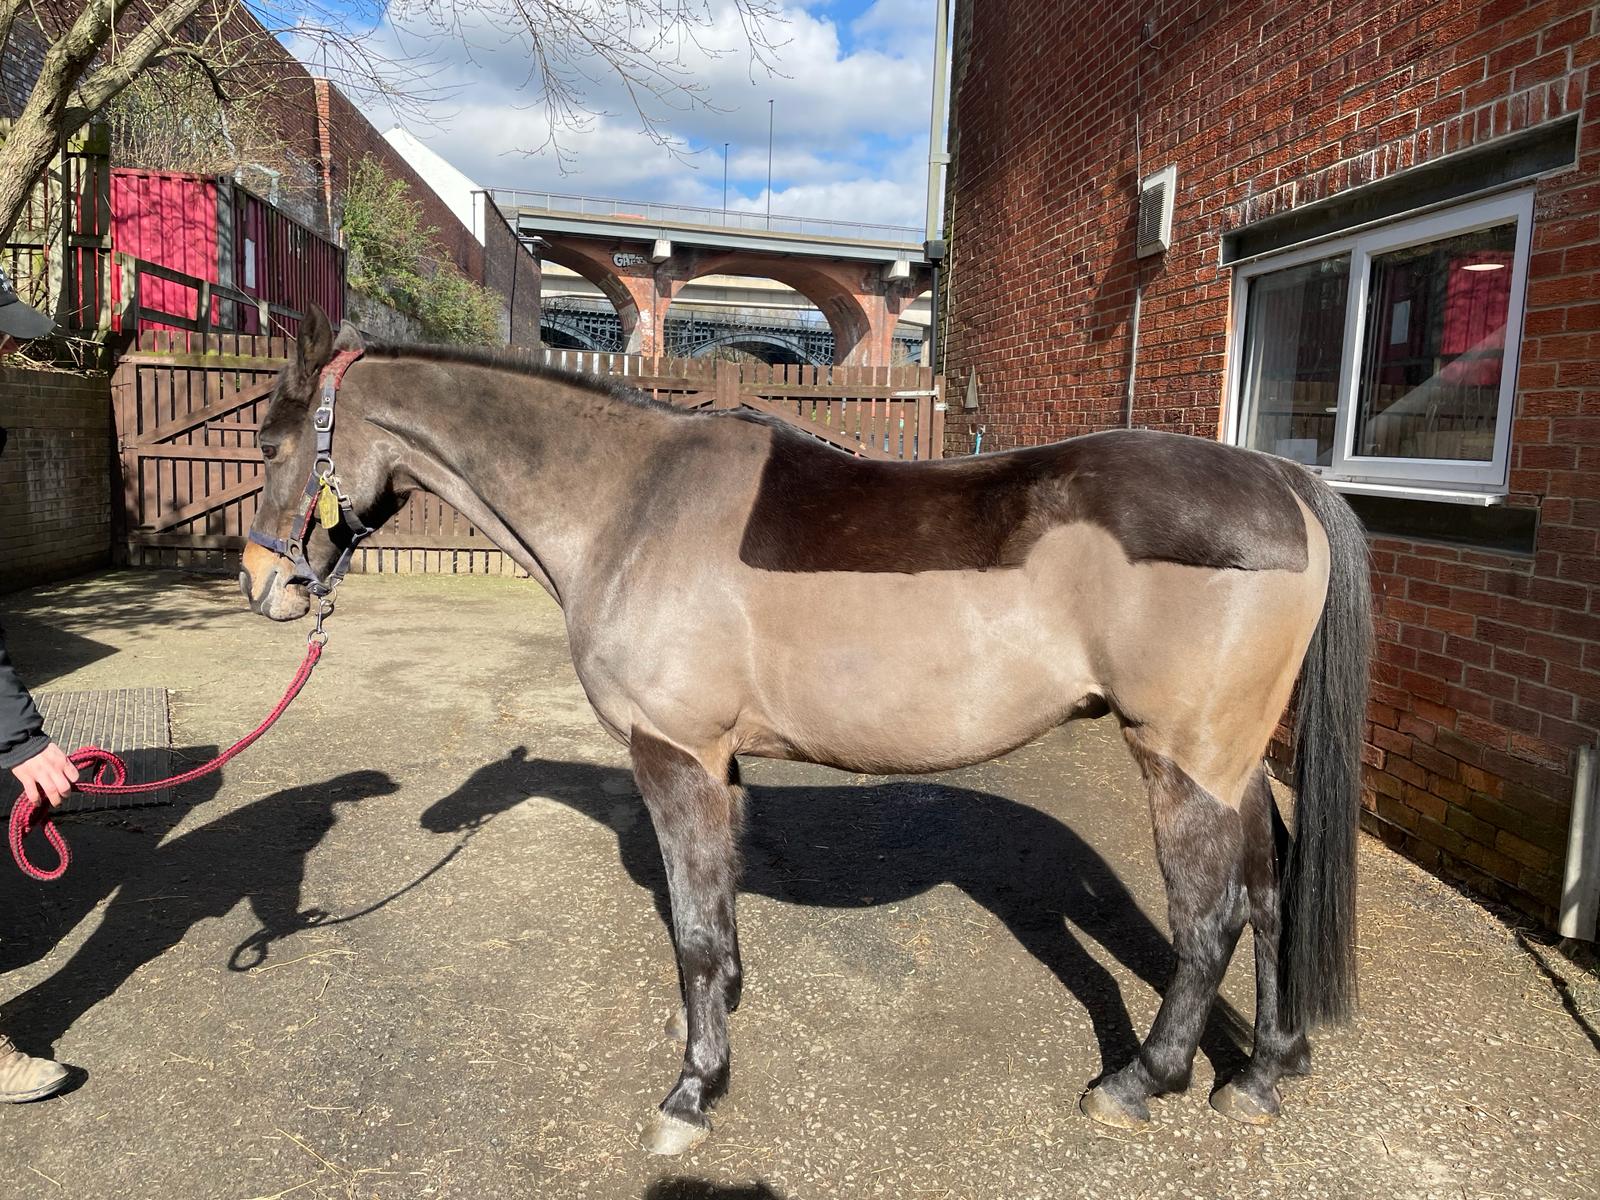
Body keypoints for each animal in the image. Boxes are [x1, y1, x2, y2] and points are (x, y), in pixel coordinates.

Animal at [240, 307, 1376, 1158]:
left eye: (274, 441)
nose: (263, 585)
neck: (630, 503)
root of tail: (1285, 483)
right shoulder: (718, 759)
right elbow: (717, 908)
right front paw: (716, 1023)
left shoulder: (674, 754)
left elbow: (695, 928)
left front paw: (693, 1091)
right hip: (1233, 760)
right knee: (1270, 888)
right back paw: (1264, 1070)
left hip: (1182, 759)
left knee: (1210, 918)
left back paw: (1141, 1080)